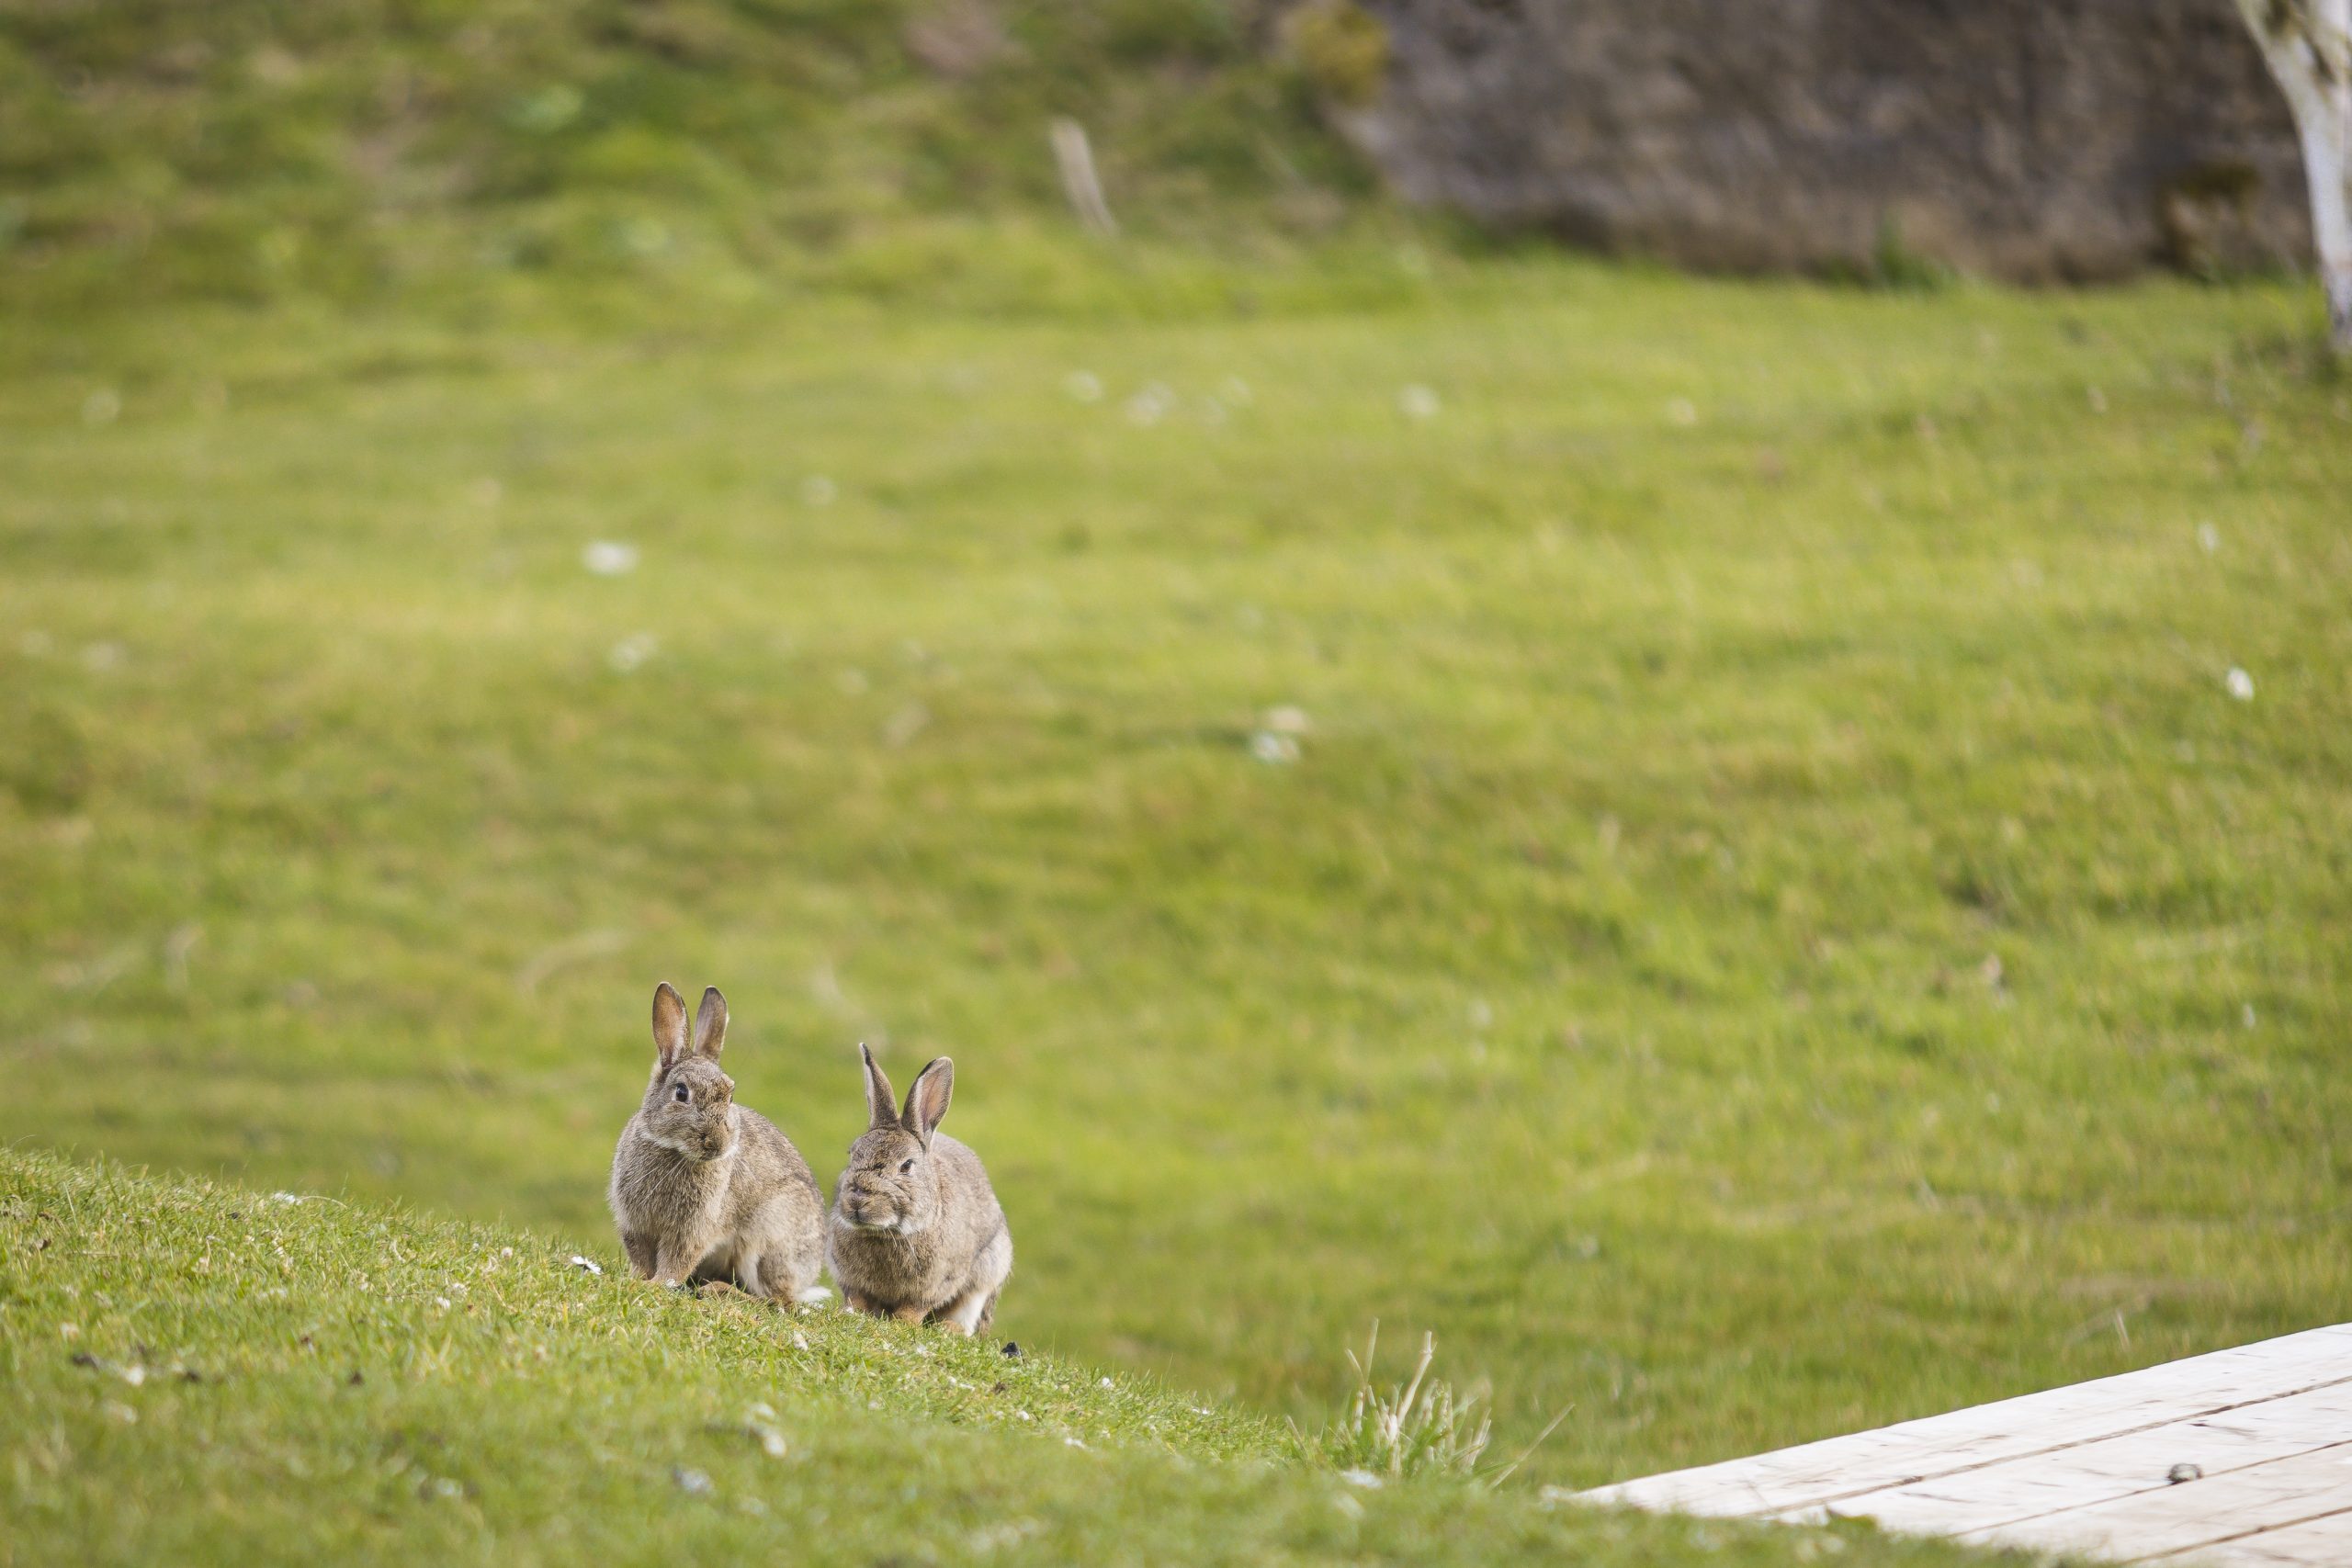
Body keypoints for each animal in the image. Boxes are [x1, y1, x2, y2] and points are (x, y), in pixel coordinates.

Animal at [611, 987, 832, 1306]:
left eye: (730, 1097)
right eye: (681, 1093)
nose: (716, 1143)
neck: (675, 1152)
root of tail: (808, 1277)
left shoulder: (693, 1229)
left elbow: (677, 1261)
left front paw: (655, 1285)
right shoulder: (635, 1225)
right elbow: (641, 1257)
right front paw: (638, 1281)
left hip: (767, 1239)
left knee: (778, 1300)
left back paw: (718, 1290)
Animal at [828, 1043, 1011, 1335]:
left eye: (906, 1166)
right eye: (852, 1154)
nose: (858, 1200)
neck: (886, 1233)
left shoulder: (938, 1282)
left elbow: (915, 1308)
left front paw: (903, 1324)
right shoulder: (849, 1278)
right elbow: (857, 1299)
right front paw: (850, 1314)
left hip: (990, 1270)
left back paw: (949, 1328)